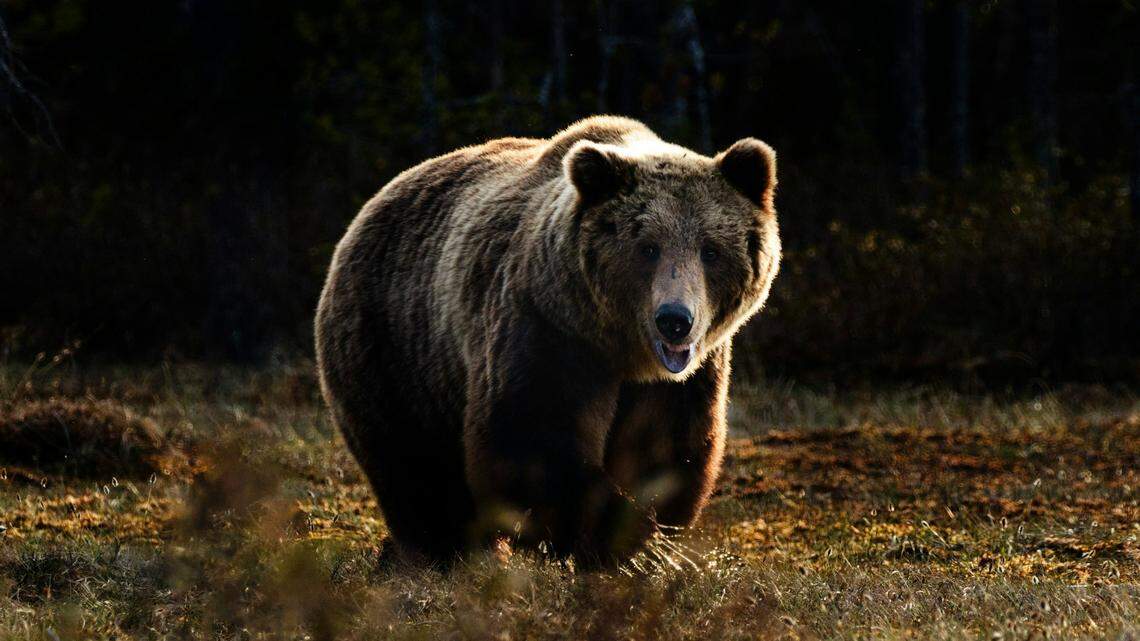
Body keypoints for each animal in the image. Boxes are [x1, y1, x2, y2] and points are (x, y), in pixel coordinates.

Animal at [315, 116, 780, 566]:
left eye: (710, 250)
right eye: (647, 248)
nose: (675, 321)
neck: (621, 348)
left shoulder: (684, 378)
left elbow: (665, 449)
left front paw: (642, 542)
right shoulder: (547, 330)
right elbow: (533, 440)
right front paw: (611, 537)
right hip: (395, 346)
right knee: (413, 465)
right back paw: (442, 551)